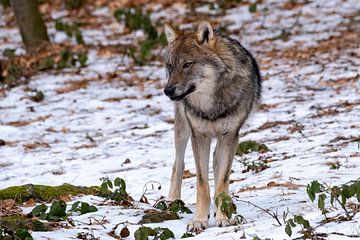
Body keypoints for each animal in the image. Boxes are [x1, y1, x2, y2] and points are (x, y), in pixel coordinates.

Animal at [163, 21, 262, 232]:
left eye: (187, 64)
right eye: (170, 66)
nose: (168, 90)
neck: (212, 104)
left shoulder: (230, 135)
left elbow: (223, 180)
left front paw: (223, 216)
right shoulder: (199, 135)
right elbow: (202, 183)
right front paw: (199, 220)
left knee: (217, 165)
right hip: (182, 128)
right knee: (178, 164)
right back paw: (172, 200)